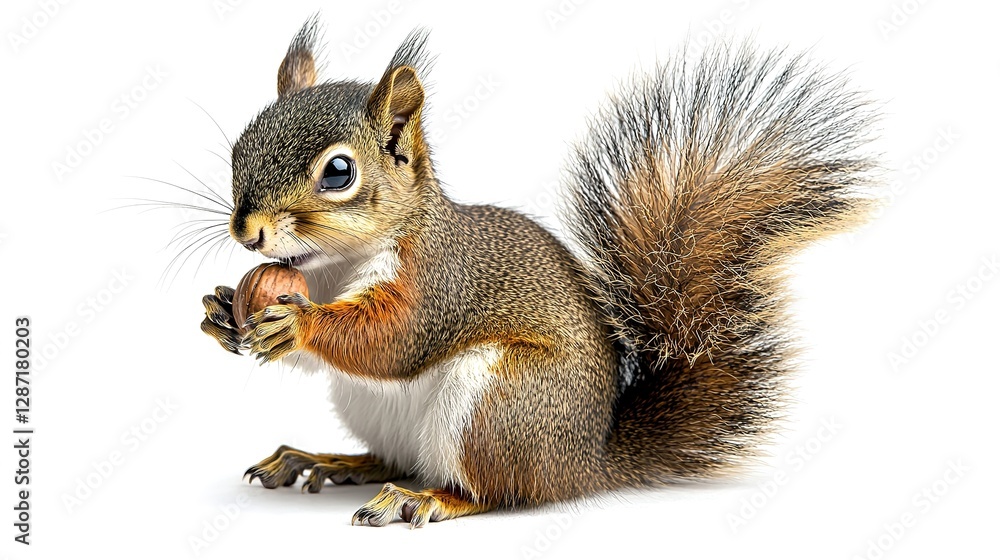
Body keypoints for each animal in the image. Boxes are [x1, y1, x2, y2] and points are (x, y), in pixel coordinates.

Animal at [199, 17, 877, 528]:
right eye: (240, 147)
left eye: (339, 172)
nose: (247, 231)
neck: (333, 269)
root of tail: (588, 461)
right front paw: (221, 311)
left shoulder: (438, 281)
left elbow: (393, 341)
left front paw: (300, 325)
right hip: (378, 409)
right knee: (395, 458)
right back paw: (330, 461)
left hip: (499, 403)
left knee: (494, 492)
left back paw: (427, 498)